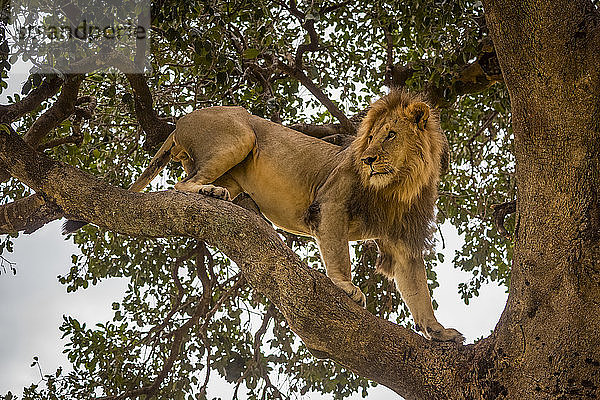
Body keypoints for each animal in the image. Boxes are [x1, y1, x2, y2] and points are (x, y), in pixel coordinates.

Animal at [64, 90, 460, 340]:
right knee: (181, 183)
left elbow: (417, 290)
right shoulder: (331, 202)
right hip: (238, 135)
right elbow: (338, 254)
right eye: (372, 137)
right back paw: (210, 193)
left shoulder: (404, 240)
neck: (398, 182)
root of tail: (179, 123)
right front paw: (345, 286)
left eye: (390, 135)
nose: (367, 159)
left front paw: (438, 331)